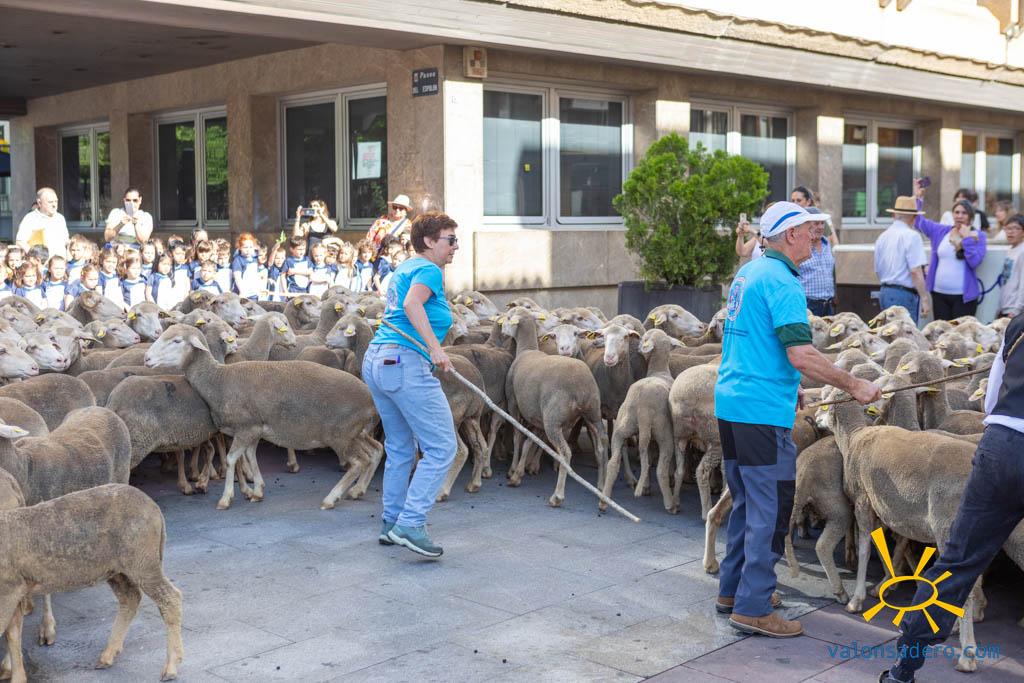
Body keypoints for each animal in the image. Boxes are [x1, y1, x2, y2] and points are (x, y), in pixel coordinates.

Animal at [0, 483, 183, 682]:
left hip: (142, 559)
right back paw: (108, 655)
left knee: (170, 598)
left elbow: (7, 632)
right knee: (131, 598)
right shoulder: (13, 591)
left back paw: (171, 667)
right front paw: (16, 675)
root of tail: (154, 508)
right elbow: (12, 634)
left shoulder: (9, 591)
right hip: (117, 569)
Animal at [144, 324, 382, 510]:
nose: (146, 358)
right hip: (357, 433)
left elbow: (231, 459)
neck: (218, 379)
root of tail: (370, 398)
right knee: (375, 452)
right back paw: (358, 490)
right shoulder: (255, 430)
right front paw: (257, 490)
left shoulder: (245, 428)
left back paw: (331, 498)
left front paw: (226, 498)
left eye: (176, 341)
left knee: (359, 461)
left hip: (341, 435)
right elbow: (250, 457)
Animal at [499, 307, 608, 506]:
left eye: (509, 317)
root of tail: (580, 386)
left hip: (553, 419)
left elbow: (519, 438)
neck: (527, 349)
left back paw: (557, 496)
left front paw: (513, 470)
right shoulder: (537, 417)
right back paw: (603, 494)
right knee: (602, 446)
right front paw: (519, 473)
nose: (502, 328)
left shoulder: (514, 404)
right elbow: (530, 441)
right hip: (593, 413)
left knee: (565, 452)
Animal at [601, 328, 681, 513]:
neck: (659, 370)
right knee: (660, 469)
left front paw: (645, 487)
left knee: (613, 462)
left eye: (644, 338)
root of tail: (643, 407)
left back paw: (604, 500)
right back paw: (670, 505)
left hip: (624, 424)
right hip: (664, 432)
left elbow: (647, 454)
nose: (636, 346)